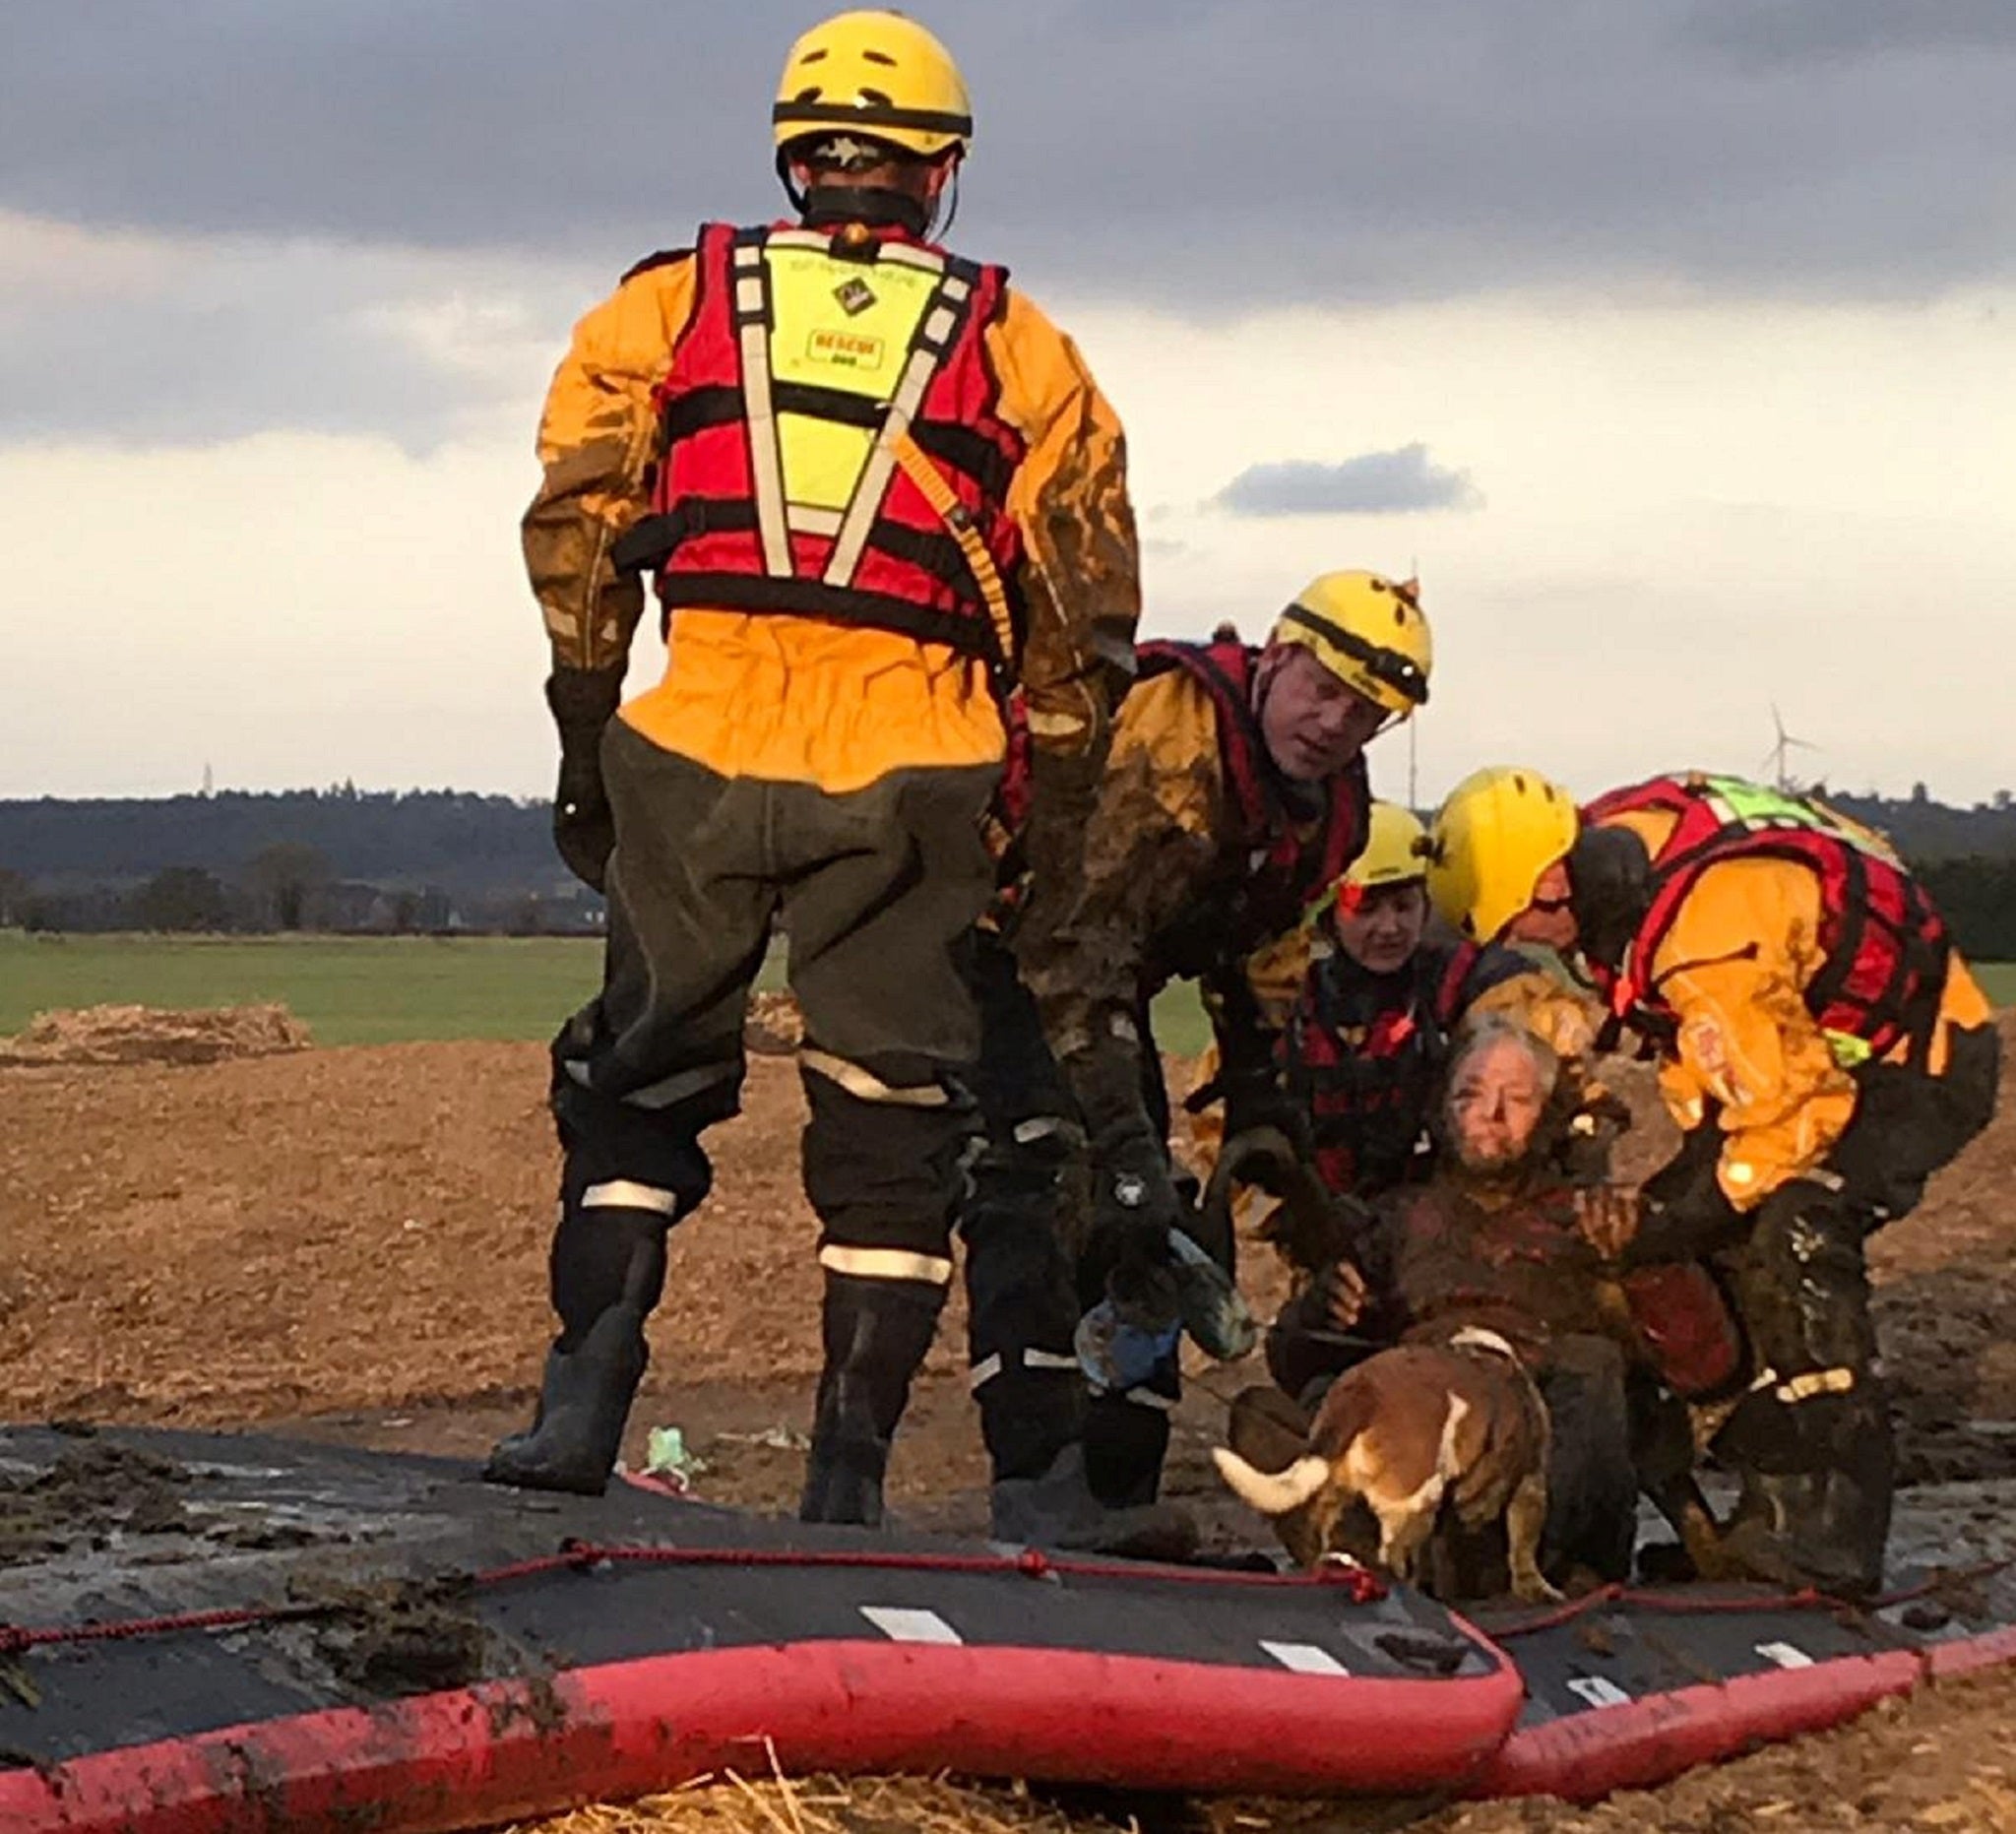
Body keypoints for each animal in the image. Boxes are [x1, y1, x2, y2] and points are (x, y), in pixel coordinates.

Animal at [1209, 1321, 1556, 1612]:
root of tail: (1364, 1393)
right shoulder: (1531, 1484)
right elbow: (1524, 1547)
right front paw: (1538, 1590)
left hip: (1336, 1487)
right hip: (1415, 1503)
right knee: (1393, 1559)